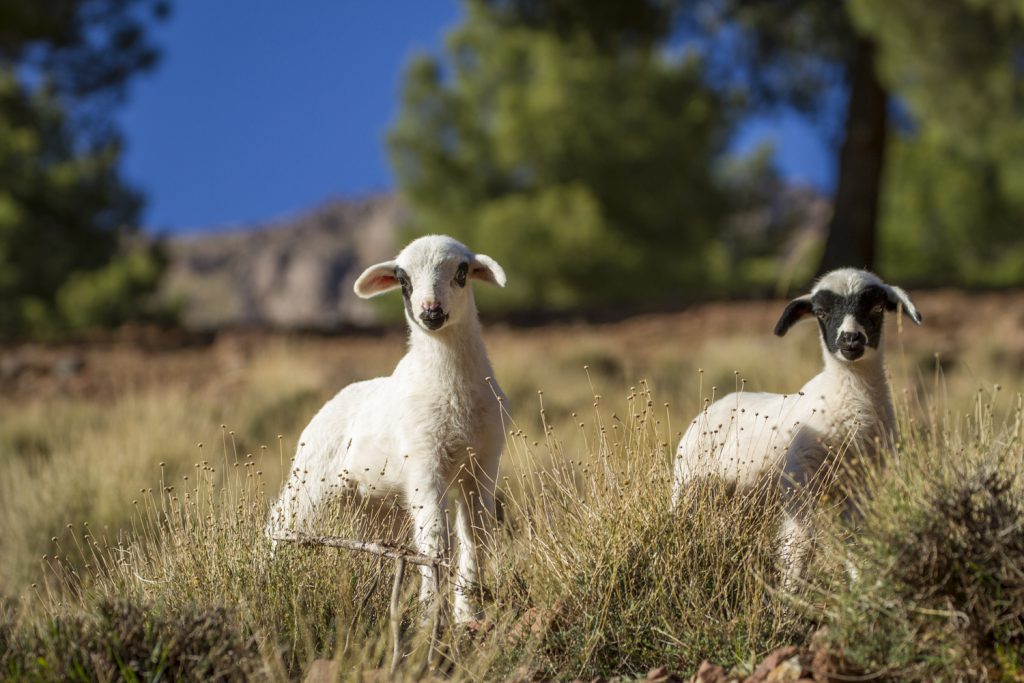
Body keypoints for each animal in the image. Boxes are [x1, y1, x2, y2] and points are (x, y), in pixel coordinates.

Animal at [266, 235, 509, 626]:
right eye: (402, 280)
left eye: (461, 272)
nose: (430, 311)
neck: (451, 388)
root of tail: (326, 406)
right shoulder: (424, 462)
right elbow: (434, 540)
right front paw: (431, 616)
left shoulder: (484, 463)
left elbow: (476, 536)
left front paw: (467, 614)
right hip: (311, 476)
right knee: (280, 520)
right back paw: (269, 577)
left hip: (375, 504)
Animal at [671, 270, 921, 585]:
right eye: (822, 312)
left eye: (876, 308)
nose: (851, 339)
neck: (848, 399)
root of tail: (716, 404)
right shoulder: (798, 482)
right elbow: (800, 545)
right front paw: (790, 593)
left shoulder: (859, 487)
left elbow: (855, 540)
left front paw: (861, 584)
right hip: (686, 482)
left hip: (741, 496)